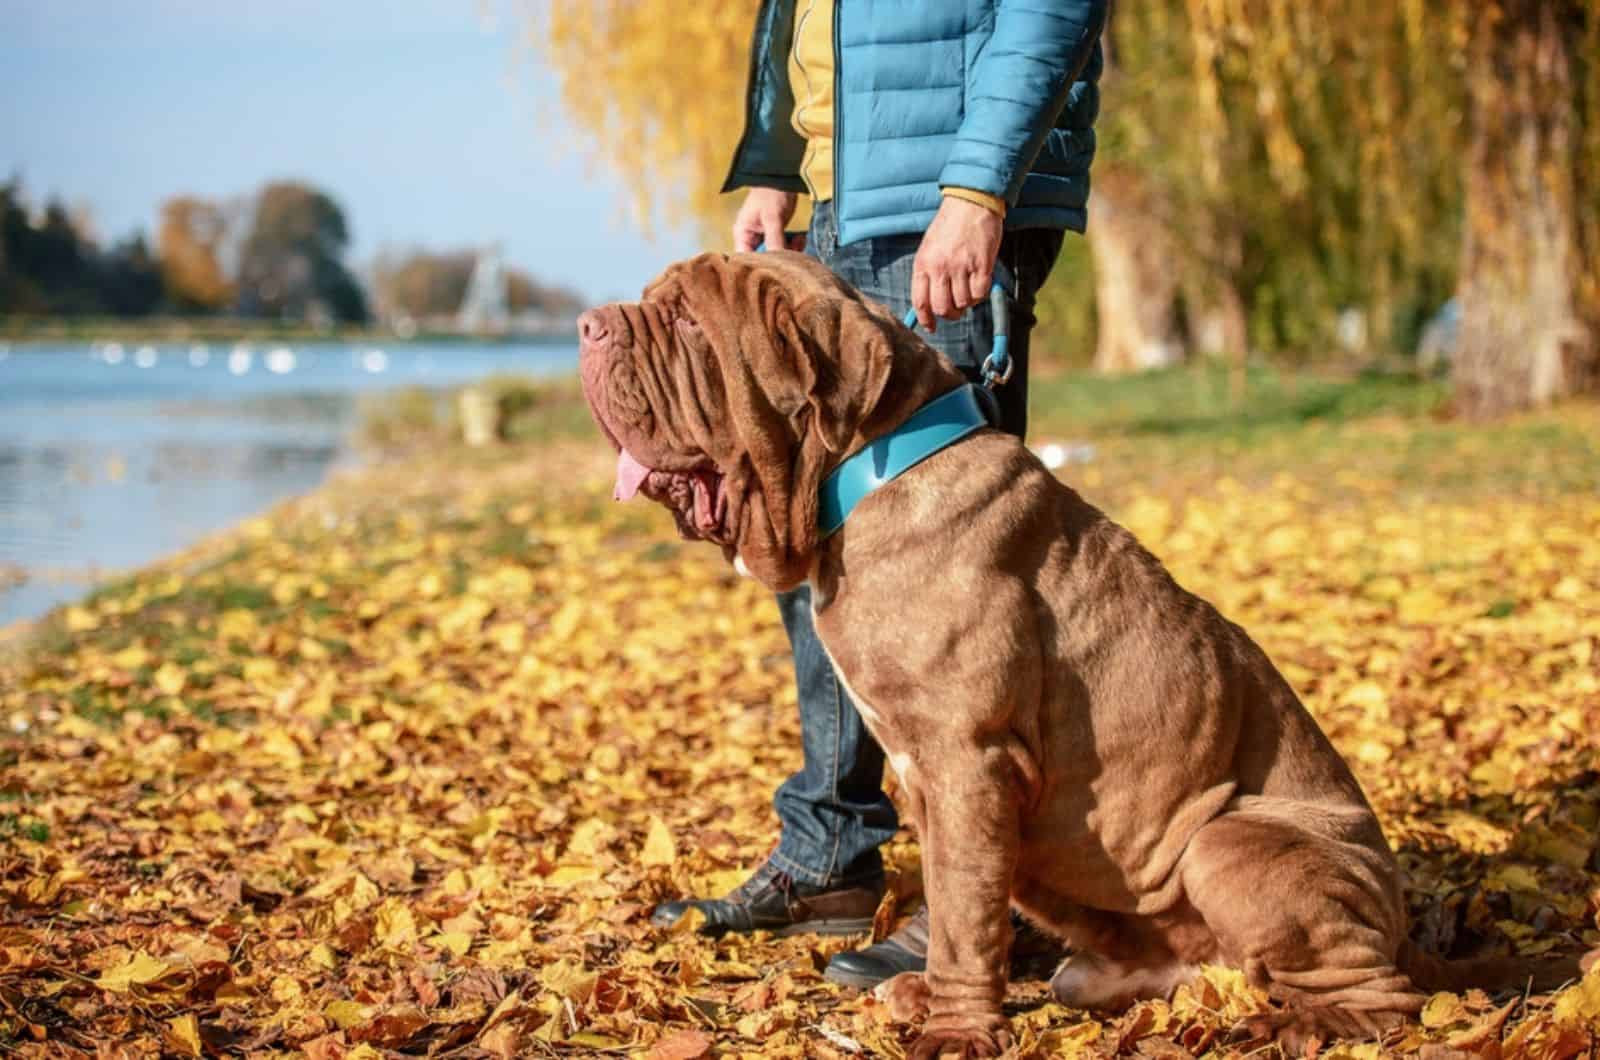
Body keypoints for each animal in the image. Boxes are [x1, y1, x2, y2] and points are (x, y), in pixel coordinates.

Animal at [579, 252, 1574, 1056]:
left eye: (684, 322)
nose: (590, 325)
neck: (867, 466)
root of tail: (1406, 926)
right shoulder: (935, 778)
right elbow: (958, 903)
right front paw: (930, 993)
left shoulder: (968, 761)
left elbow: (965, 908)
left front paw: (955, 1028)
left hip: (1232, 842)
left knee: (1382, 998)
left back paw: (1287, 1024)